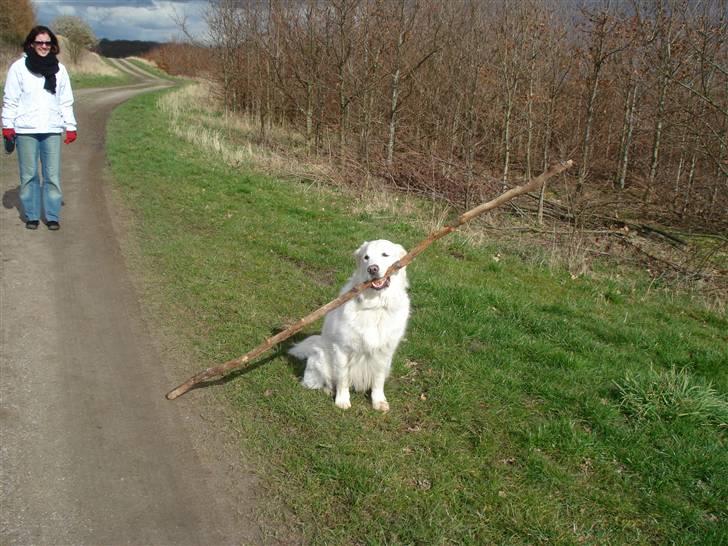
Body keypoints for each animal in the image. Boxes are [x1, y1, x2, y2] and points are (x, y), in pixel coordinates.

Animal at [292, 238, 416, 408]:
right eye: (366, 257)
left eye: (385, 254)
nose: (372, 269)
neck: (375, 305)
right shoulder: (342, 348)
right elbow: (342, 378)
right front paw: (342, 400)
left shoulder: (384, 352)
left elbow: (378, 380)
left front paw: (379, 401)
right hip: (320, 360)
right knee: (324, 381)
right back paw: (328, 390)